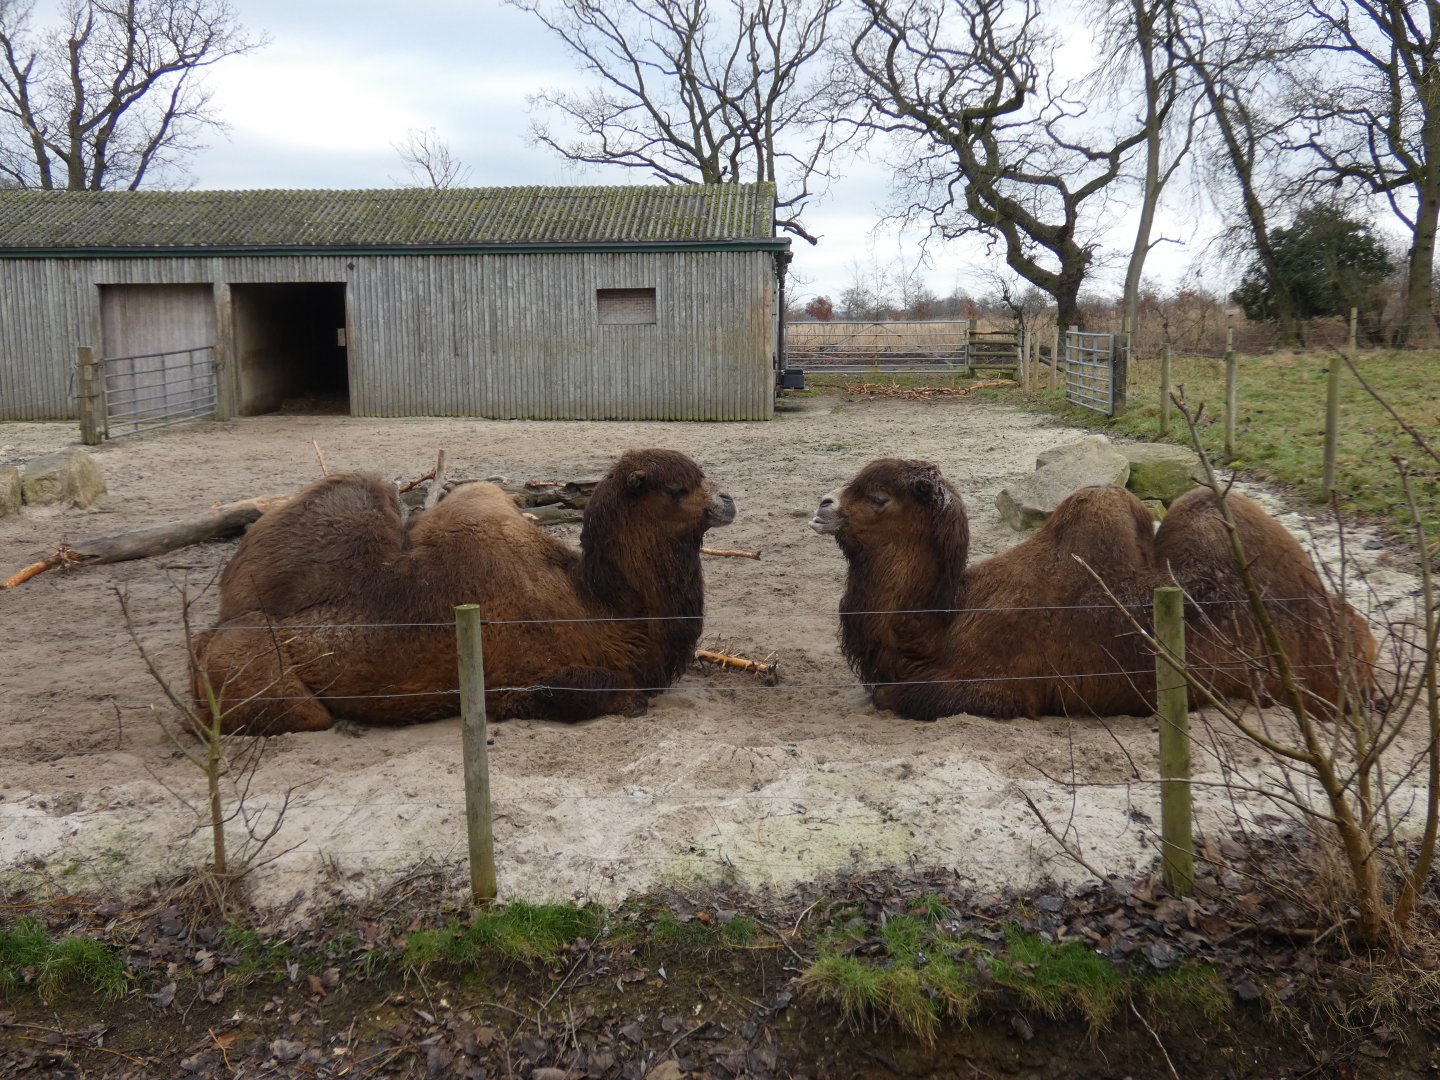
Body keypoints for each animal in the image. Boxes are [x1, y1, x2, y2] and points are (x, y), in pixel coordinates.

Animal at [192, 449, 735, 734]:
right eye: (677, 490)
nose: (729, 501)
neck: (601, 608)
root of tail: (207, 635)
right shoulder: (526, 676)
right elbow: (607, 693)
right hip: (262, 681)